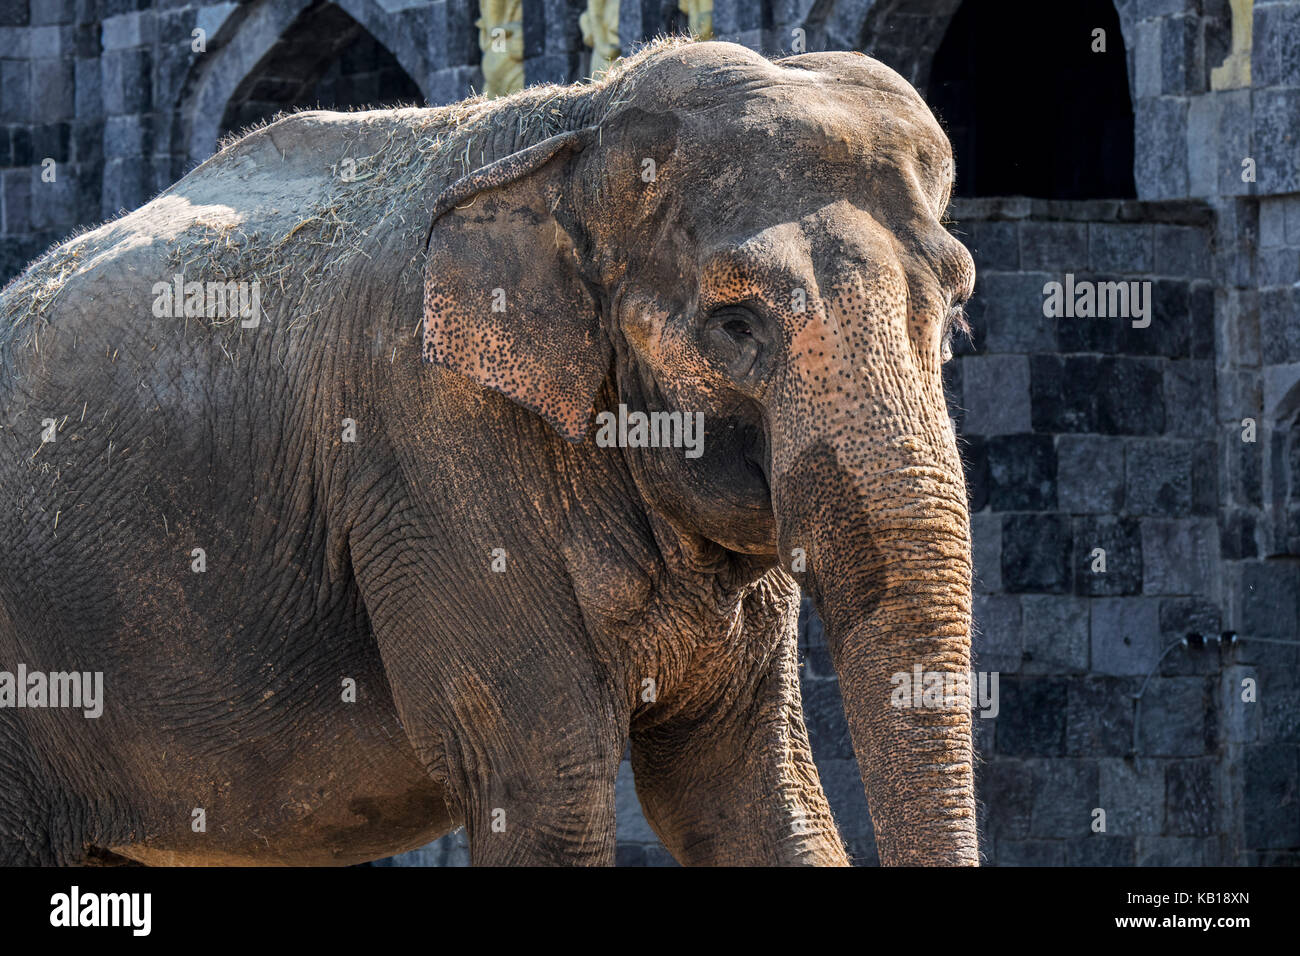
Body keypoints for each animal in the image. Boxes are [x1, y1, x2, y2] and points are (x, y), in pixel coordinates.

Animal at [0, 39, 977, 868]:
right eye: (735, 323)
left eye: (955, 311)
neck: (577, 126)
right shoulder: (427, 449)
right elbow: (548, 787)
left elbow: (749, 791)